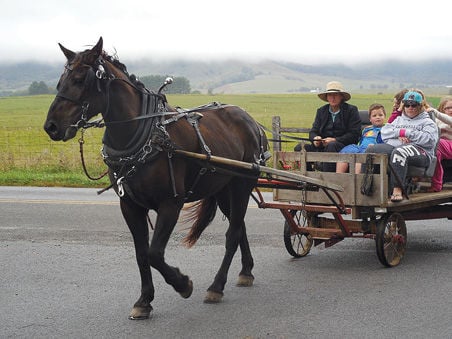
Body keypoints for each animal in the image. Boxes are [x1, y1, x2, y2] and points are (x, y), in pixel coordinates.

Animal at [43, 37, 268, 322]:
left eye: (81, 79)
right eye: (60, 80)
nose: (51, 126)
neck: (148, 134)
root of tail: (250, 120)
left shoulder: (170, 204)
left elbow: (154, 253)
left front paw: (183, 284)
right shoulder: (130, 206)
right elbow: (141, 254)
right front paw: (144, 301)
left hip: (242, 184)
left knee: (233, 234)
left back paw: (217, 286)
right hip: (222, 189)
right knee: (240, 228)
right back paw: (246, 271)